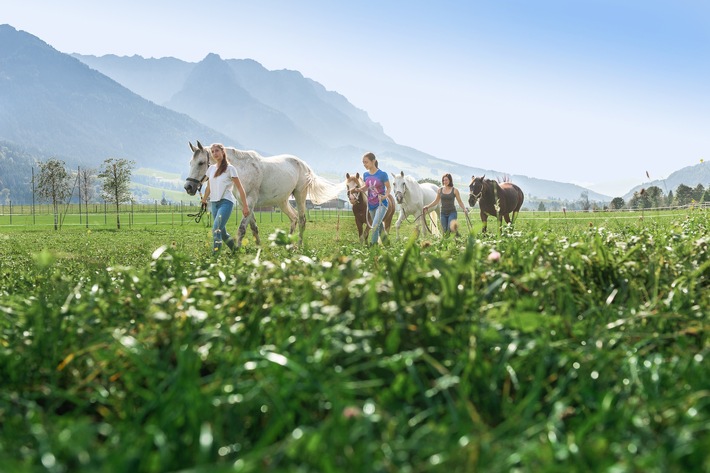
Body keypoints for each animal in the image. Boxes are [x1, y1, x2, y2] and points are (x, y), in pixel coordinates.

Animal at [185, 140, 346, 247]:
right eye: (190, 163)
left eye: (201, 163)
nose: (188, 187)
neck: (241, 169)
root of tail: (304, 165)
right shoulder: (244, 203)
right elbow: (253, 227)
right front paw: (258, 247)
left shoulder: (250, 201)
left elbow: (242, 228)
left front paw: (237, 251)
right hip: (282, 201)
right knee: (293, 218)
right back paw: (288, 245)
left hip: (300, 195)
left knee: (301, 220)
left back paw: (298, 246)